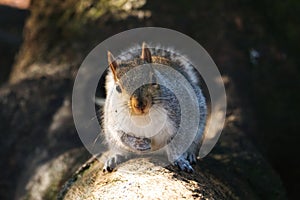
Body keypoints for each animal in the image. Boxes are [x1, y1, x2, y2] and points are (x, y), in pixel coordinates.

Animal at [101, 41, 206, 172]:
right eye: (117, 88)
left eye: (154, 79)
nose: (140, 105)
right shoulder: (114, 122)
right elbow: (121, 135)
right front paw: (139, 144)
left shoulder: (180, 118)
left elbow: (175, 144)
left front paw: (179, 160)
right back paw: (115, 157)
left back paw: (189, 154)